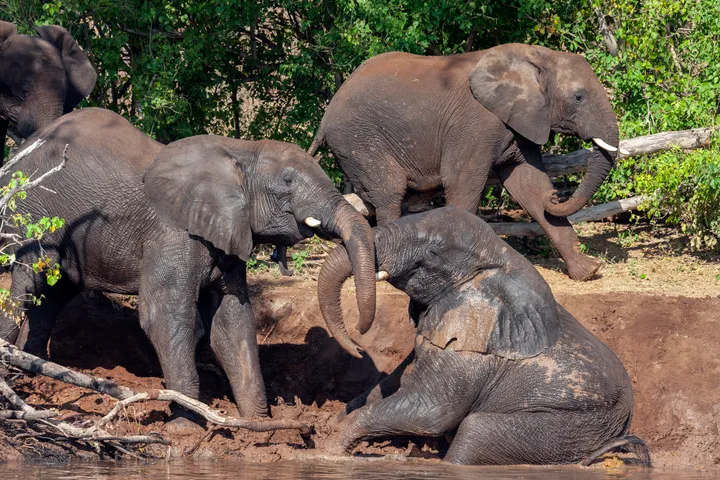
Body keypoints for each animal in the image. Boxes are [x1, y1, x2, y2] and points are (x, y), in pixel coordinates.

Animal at [0, 108, 380, 424]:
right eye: (288, 181)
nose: (360, 342)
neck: (239, 152)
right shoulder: (173, 234)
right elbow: (167, 316)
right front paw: (188, 426)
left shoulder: (227, 234)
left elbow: (232, 322)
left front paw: (258, 426)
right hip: (32, 211)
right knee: (29, 281)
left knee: (54, 293)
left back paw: (35, 369)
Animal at [310, 42, 624, 282]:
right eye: (579, 97)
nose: (557, 195)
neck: (537, 56)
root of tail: (325, 117)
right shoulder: (476, 123)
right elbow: (463, 185)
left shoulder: (520, 120)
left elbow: (530, 185)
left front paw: (589, 271)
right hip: (357, 139)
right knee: (390, 194)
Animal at [314, 208, 648, 466]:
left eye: (432, 253)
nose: (358, 338)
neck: (500, 255)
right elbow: (392, 384)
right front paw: (329, 427)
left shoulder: (472, 351)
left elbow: (429, 411)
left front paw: (333, 449)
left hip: (576, 425)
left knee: (474, 431)